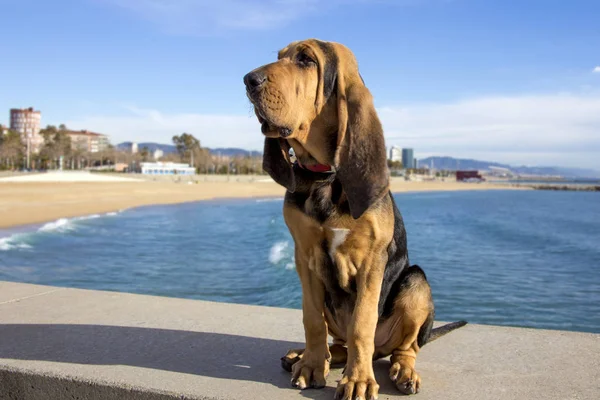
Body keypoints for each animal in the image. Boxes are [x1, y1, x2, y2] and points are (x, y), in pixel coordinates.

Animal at [244, 39, 468, 398]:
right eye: (279, 57)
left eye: (306, 59)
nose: (249, 80)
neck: (325, 175)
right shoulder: (304, 257)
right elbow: (312, 320)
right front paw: (311, 365)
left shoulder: (372, 261)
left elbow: (362, 324)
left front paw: (359, 381)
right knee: (339, 343)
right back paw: (304, 356)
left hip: (416, 283)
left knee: (402, 347)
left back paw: (403, 371)